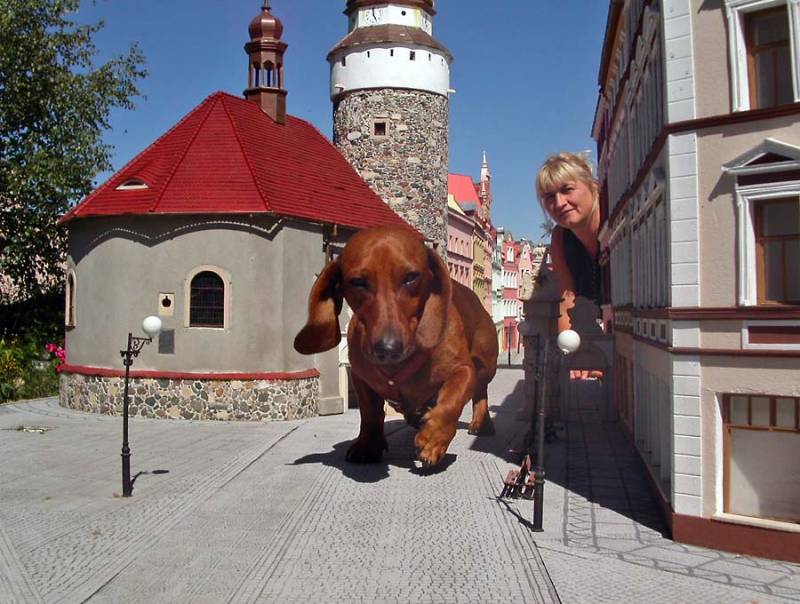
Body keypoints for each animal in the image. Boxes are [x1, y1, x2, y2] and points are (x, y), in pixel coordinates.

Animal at [294, 226, 499, 466]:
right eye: (357, 282)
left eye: (411, 278)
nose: (388, 349)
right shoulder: (361, 377)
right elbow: (370, 413)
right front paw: (368, 445)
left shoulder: (463, 370)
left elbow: (451, 401)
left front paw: (433, 439)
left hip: (485, 367)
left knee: (480, 391)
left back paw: (481, 423)